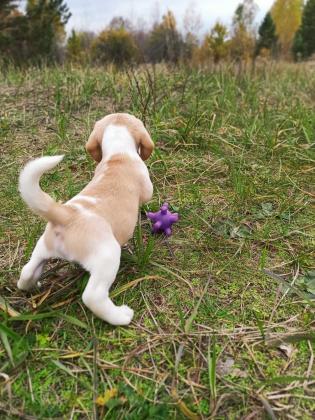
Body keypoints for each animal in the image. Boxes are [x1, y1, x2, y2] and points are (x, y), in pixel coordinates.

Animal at [17, 113, 155, 326]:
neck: (117, 152)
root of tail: (65, 215)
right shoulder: (146, 185)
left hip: (42, 249)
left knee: (27, 271)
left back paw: (32, 285)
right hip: (108, 256)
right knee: (93, 296)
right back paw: (121, 316)